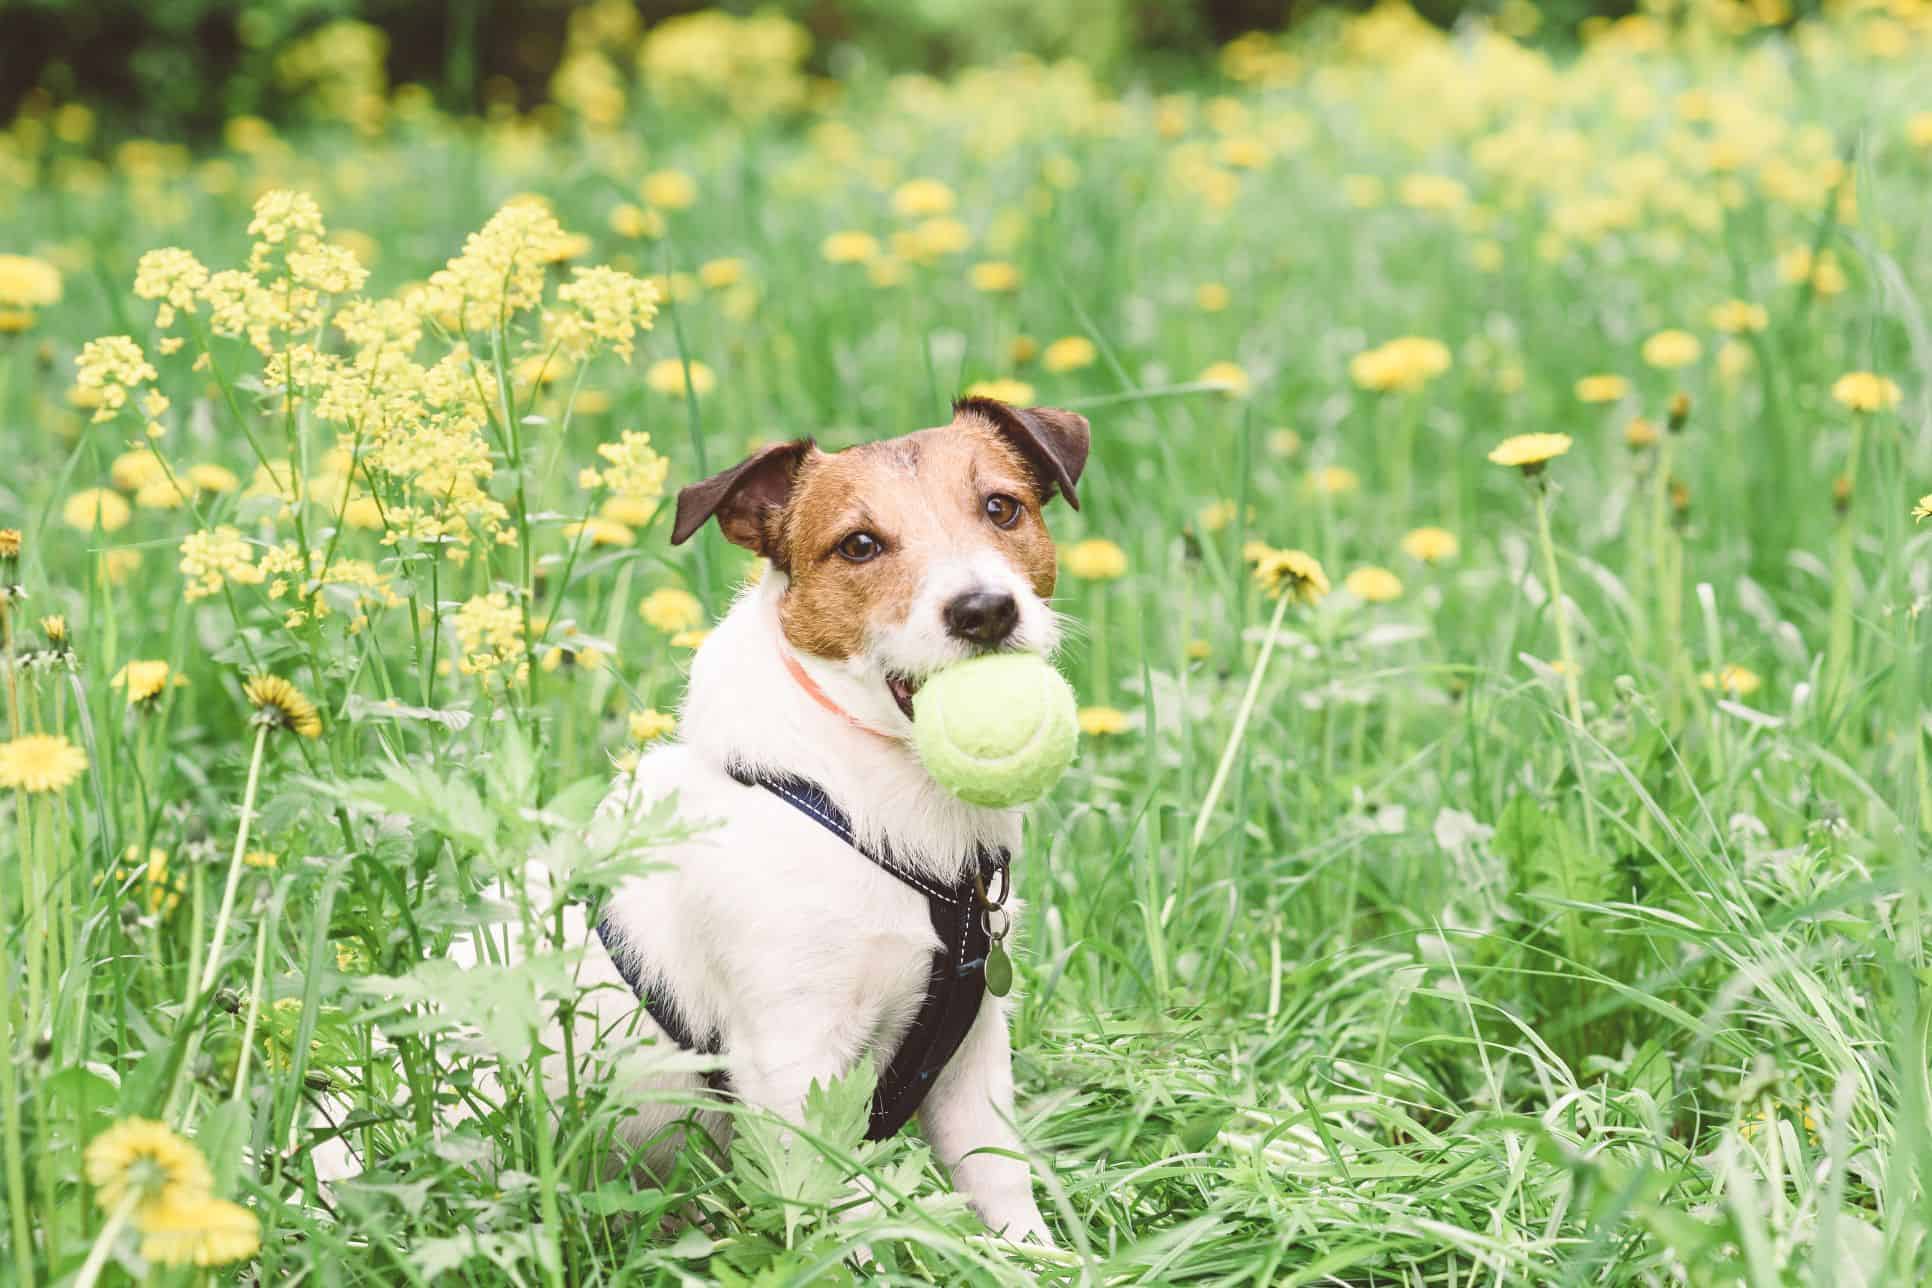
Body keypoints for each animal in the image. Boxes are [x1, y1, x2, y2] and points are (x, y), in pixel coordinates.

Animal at [571, 397, 1089, 1243]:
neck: (855, 799)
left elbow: (1000, 1179)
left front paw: (1045, 1259)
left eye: (1001, 507)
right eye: (859, 545)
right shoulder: (791, 1061)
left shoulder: (971, 1053)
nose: (984, 609)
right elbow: (834, 1206)